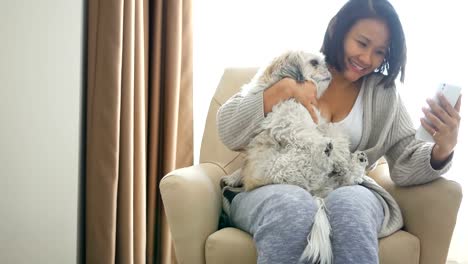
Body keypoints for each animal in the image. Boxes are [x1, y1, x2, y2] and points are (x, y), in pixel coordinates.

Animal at [225, 50, 368, 262]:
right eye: (315, 62)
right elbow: (314, 137)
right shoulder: (292, 124)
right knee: (321, 165)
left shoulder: (316, 123)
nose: (329, 70)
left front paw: (342, 158)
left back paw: (355, 162)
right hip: (285, 167)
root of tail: (315, 192)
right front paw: (335, 155)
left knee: (345, 177)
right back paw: (327, 153)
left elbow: (334, 138)